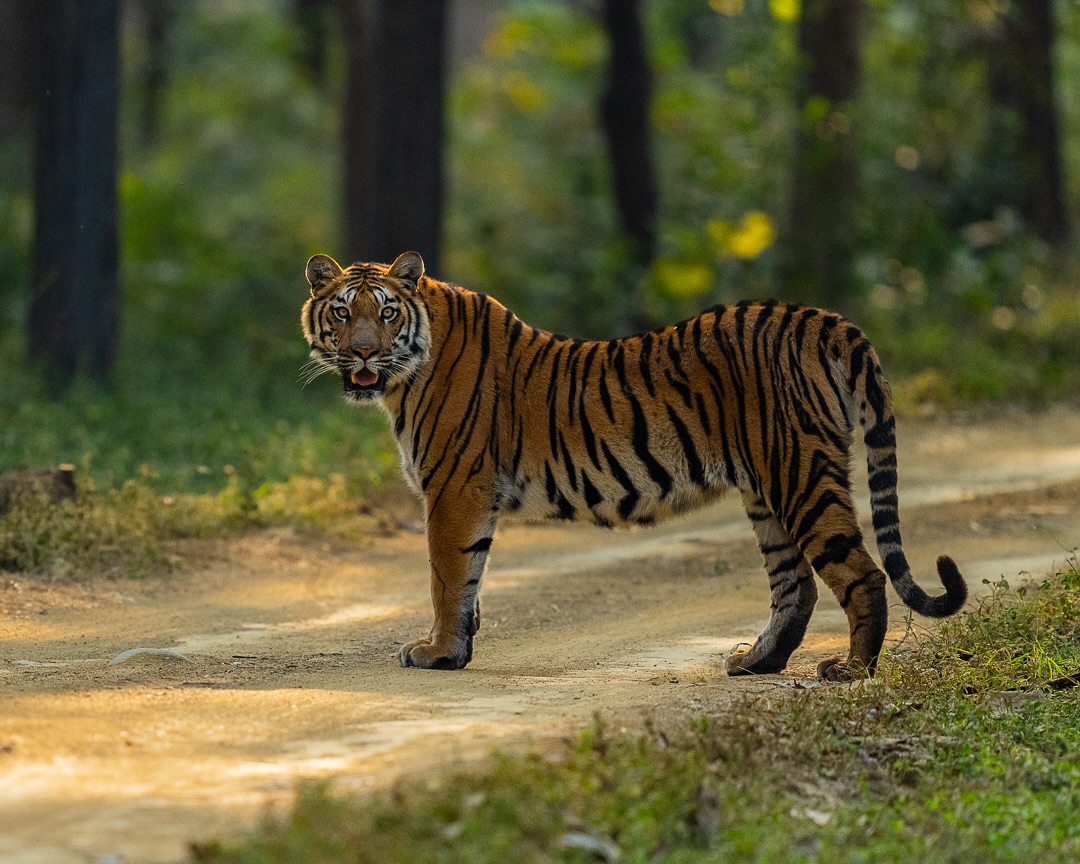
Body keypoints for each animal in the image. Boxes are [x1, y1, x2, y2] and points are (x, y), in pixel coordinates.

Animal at [301, 250, 967, 681]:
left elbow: (447, 578)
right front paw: (457, 649)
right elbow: (469, 582)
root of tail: (824, 319)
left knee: (861, 572)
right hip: (766, 489)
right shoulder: (469, 497)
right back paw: (756, 662)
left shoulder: (454, 490)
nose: (364, 352)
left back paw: (851, 669)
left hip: (799, 472)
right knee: (794, 584)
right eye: (342, 313)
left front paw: (437, 653)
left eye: (387, 313)